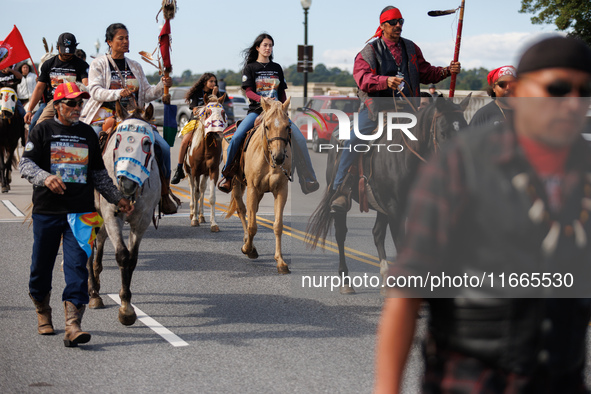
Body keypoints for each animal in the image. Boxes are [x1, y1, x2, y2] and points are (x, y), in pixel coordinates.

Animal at [86, 102, 161, 326]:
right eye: (118, 140)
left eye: (147, 143)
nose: (126, 183)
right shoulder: (112, 214)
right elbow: (122, 255)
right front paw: (125, 309)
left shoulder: (142, 220)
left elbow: (132, 259)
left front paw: (127, 305)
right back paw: (93, 293)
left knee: (100, 239)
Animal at [186, 92, 228, 231]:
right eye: (208, 112)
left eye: (223, 112)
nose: (218, 134)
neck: (205, 148)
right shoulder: (195, 171)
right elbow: (195, 193)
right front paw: (194, 220)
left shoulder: (213, 170)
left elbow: (211, 197)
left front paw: (213, 223)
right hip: (189, 172)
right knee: (193, 189)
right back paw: (193, 213)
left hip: (204, 173)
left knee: (202, 189)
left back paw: (201, 216)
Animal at [223, 97, 292, 274]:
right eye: (267, 126)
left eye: (287, 126)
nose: (279, 157)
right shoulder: (252, 189)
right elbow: (253, 225)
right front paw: (248, 249)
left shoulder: (281, 190)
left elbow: (278, 225)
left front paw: (280, 262)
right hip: (236, 183)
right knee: (242, 210)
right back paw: (248, 242)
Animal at [308, 95, 470, 292]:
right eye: (443, 132)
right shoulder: (396, 210)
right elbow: (401, 245)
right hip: (342, 199)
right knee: (341, 234)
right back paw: (346, 281)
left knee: (377, 233)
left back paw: (385, 276)